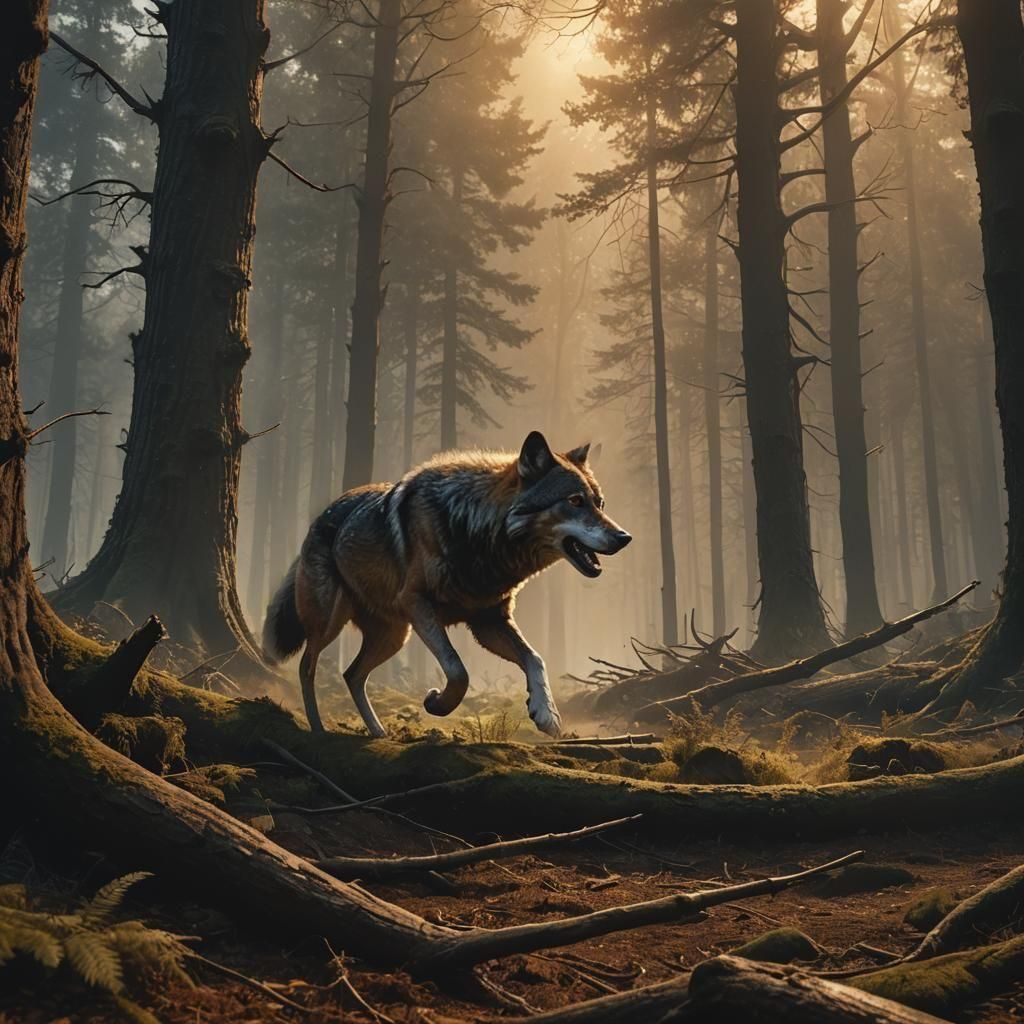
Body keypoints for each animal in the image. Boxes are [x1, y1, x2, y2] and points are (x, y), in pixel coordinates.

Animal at [261, 431, 631, 738]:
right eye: (574, 501)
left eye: (600, 503)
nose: (624, 537)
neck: (477, 533)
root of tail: (316, 520)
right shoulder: (419, 604)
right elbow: (458, 670)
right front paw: (437, 703)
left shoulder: (488, 621)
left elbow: (535, 659)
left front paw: (546, 714)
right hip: (332, 623)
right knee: (307, 667)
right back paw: (318, 729)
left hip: (393, 636)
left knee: (352, 675)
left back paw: (378, 732)